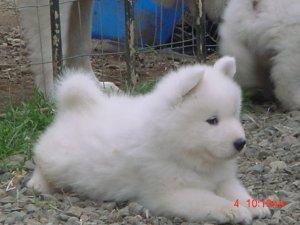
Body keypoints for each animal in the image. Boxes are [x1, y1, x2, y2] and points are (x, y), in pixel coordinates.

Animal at [28, 57, 270, 224]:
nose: (240, 142)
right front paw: (233, 210)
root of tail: (75, 106)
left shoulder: (221, 179)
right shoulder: (169, 193)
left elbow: (236, 191)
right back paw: (37, 184)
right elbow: (208, 200)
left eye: (234, 115)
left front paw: (254, 204)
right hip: (59, 160)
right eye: (212, 121)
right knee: (41, 160)